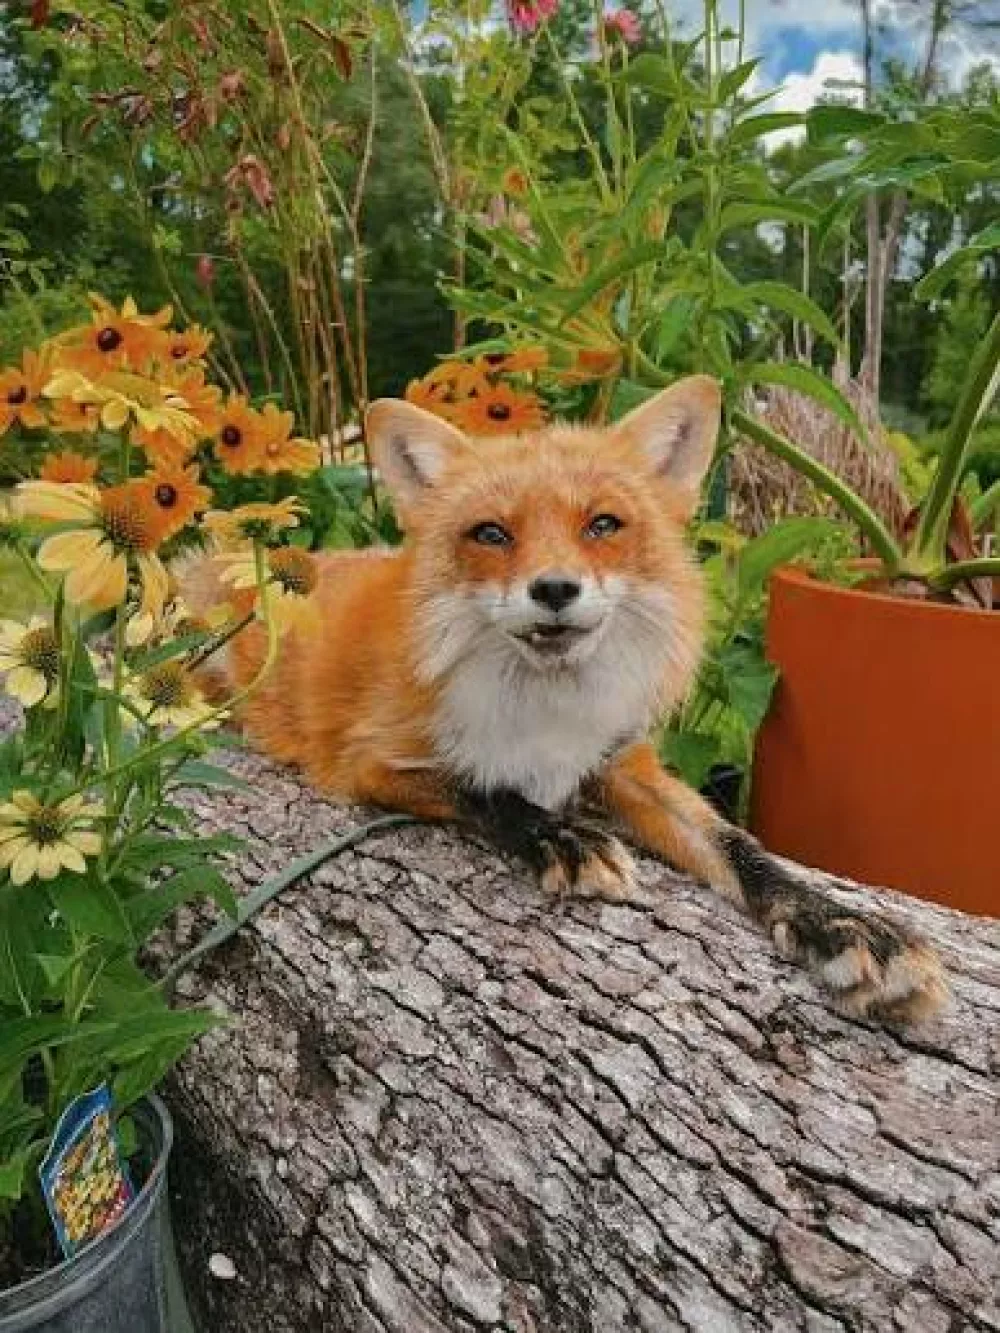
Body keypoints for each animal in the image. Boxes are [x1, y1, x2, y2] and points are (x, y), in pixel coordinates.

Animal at [184, 376, 946, 1025]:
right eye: (492, 533)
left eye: (603, 524)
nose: (554, 588)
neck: (549, 708)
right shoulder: (372, 762)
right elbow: (487, 789)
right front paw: (561, 835)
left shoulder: (620, 762)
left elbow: (740, 847)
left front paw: (841, 924)